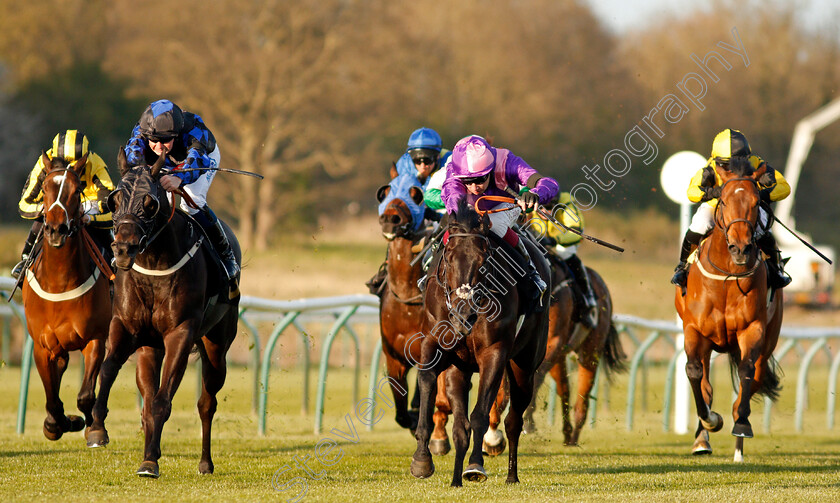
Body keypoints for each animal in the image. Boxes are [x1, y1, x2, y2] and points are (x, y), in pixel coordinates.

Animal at [20, 153, 110, 440]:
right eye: (45, 187)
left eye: (76, 190)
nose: (56, 230)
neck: (60, 281)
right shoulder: (43, 346)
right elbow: (51, 400)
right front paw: (58, 424)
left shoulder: (95, 338)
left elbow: (85, 396)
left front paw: (91, 426)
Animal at [85, 149, 241, 476]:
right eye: (114, 201)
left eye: (150, 203)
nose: (122, 250)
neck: (155, 265)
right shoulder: (125, 326)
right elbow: (108, 370)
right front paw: (97, 428)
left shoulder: (180, 333)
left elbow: (162, 401)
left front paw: (149, 463)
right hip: (149, 348)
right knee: (146, 397)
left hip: (216, 346)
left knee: (206, 402)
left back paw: (205, 462)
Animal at [408, 199, 552, 486]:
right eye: (448, 259)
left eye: (485, 261)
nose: (464, 314)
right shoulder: (434, 343)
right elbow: (429, 383)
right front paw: (422, 460)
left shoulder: (493, 353)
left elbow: (479, 415)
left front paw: (475, 466)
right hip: (461, 368)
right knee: (462, 422)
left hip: (525, 365)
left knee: (514, 420)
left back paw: (512, 476)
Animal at [520, 254, 628, 446]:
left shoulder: (554, 342)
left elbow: (537, 376)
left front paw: (528, 419)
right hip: (560, 356)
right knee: (564, 389)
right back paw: (567, 431)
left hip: (589, 353)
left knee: (582, 396)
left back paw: (575, 434)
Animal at [672, 156, 784, 462]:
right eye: (722, 200)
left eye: (757, 201)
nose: (741, 248)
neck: (726, 275)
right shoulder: (694, 330)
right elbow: (695, 374)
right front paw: (709, 422)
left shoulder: (752, 329)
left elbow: (746, 373)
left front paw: (741, 425)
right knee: (705, 384)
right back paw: (703, 439)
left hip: (768, 340)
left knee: (753, 378)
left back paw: (738, 448)